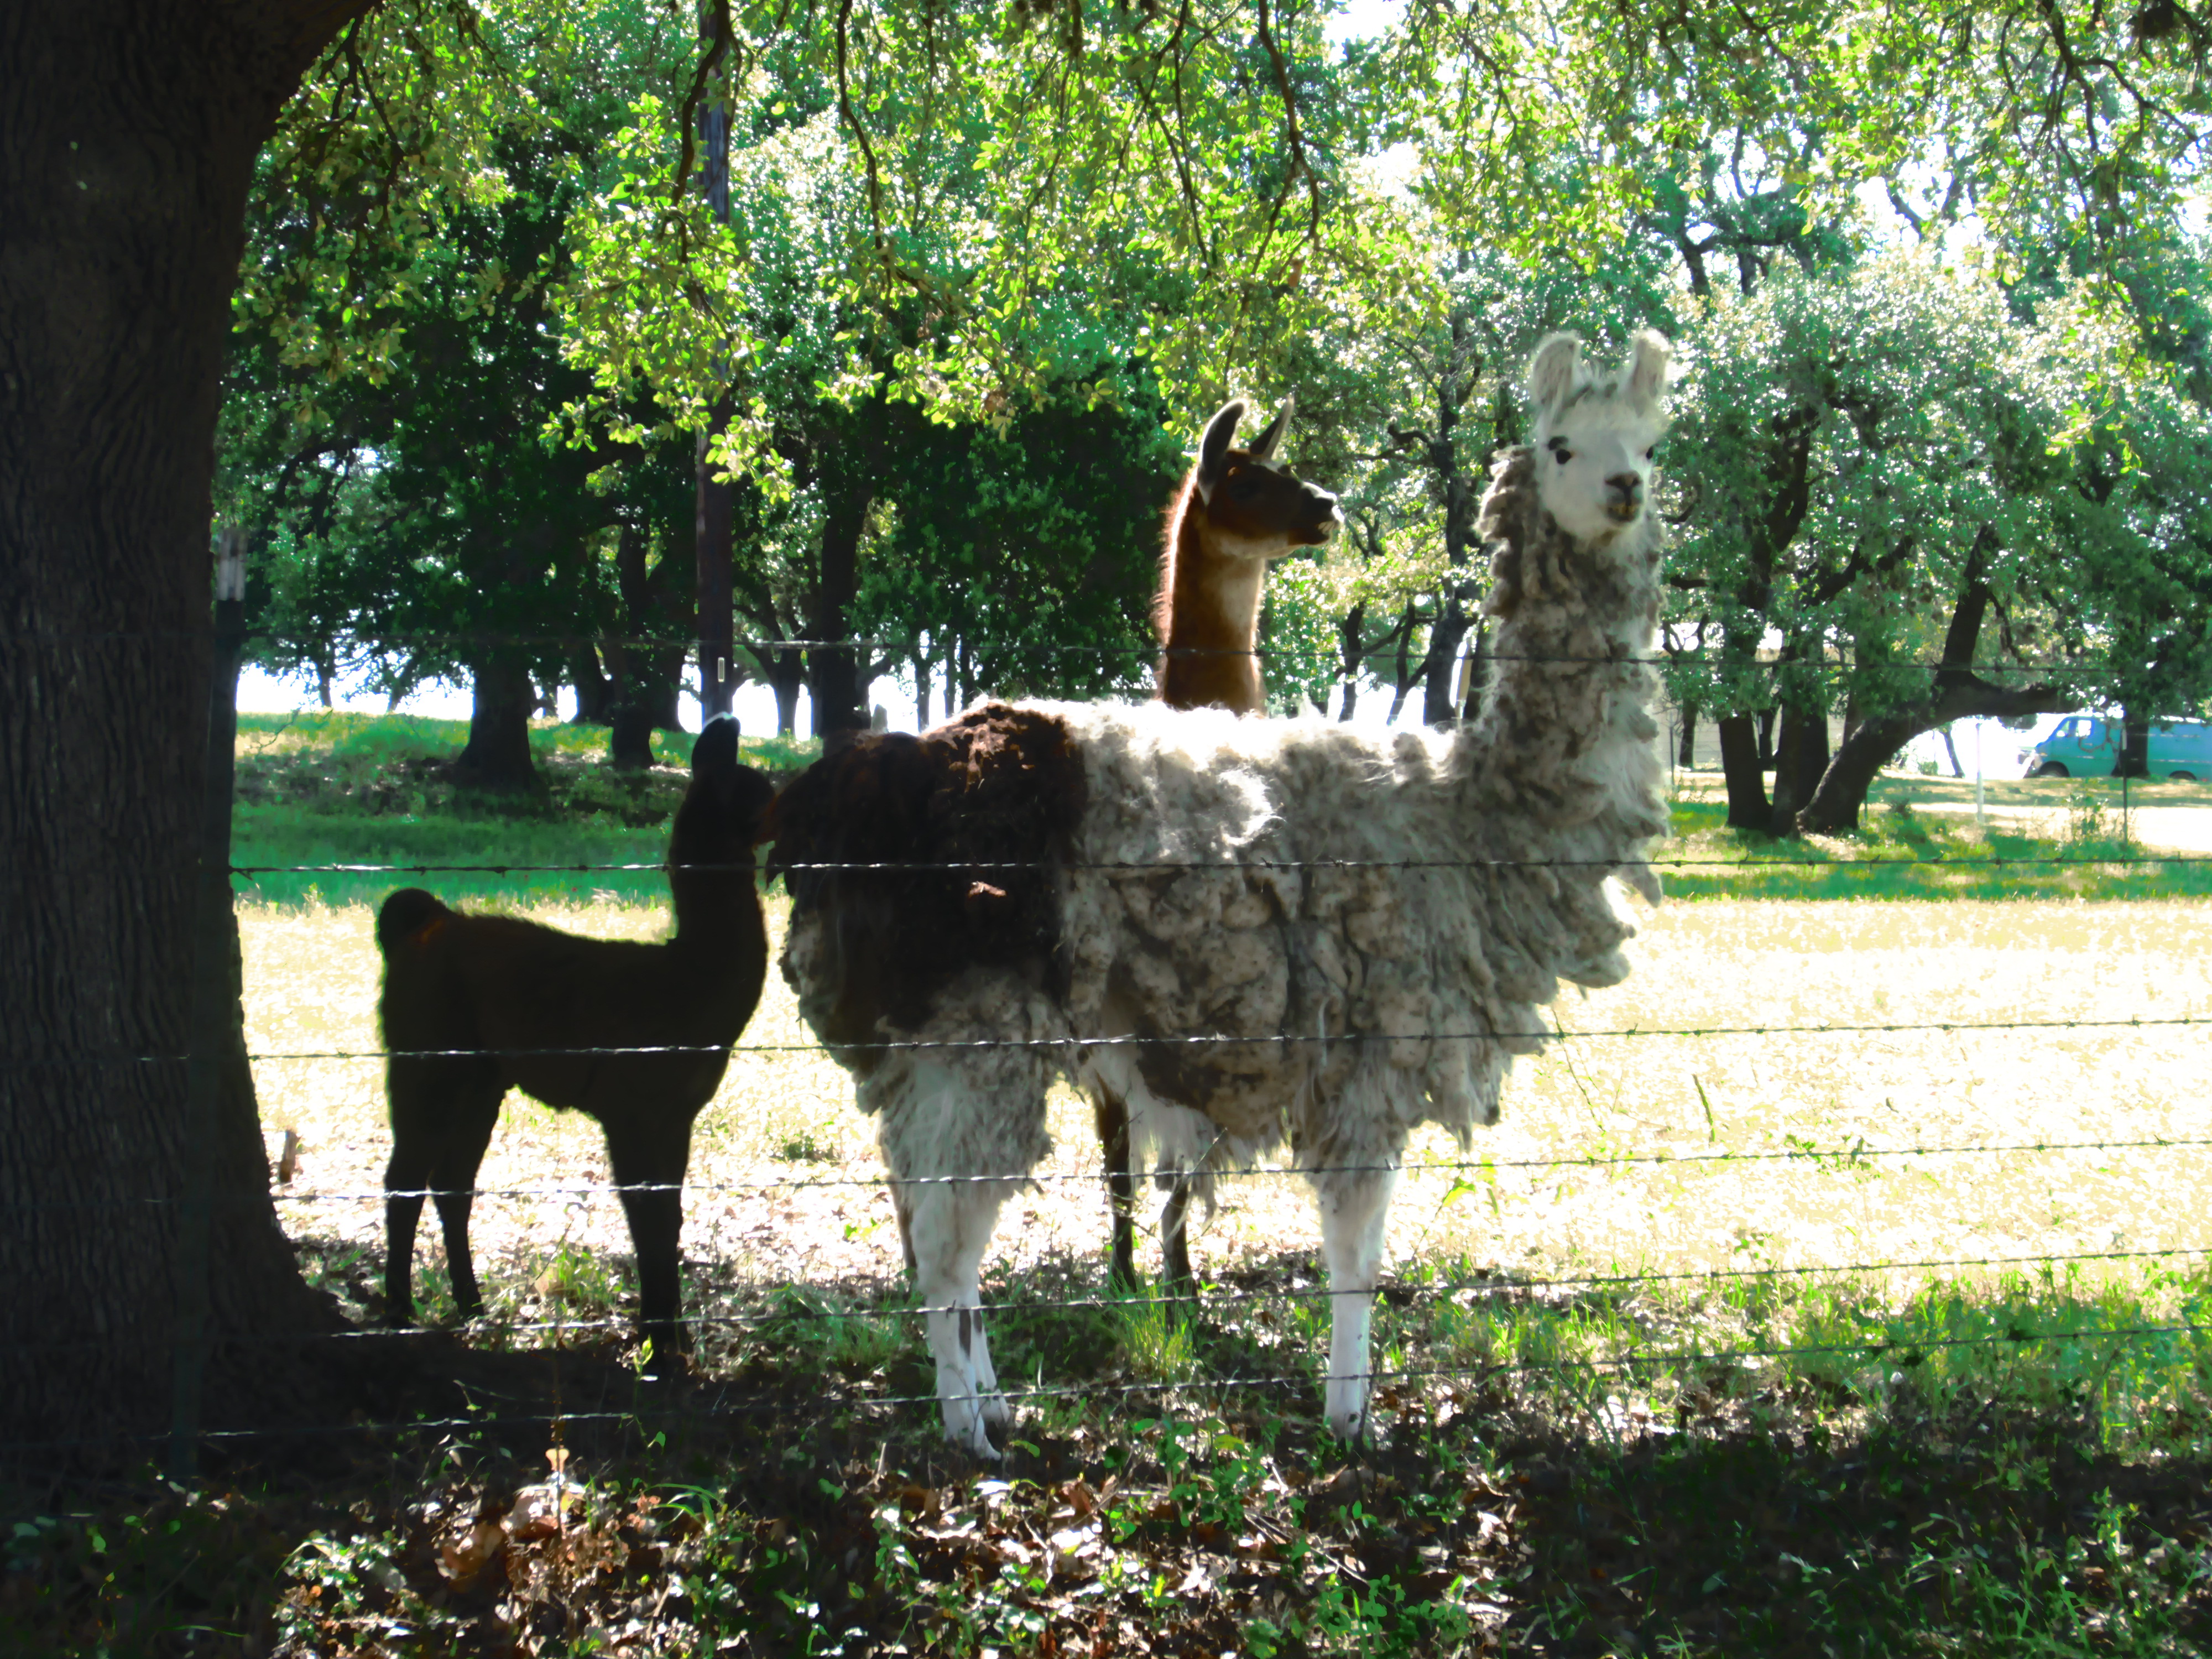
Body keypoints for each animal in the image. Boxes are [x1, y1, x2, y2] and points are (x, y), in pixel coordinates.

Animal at [378, 714, 774, 1363]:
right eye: (762, 791)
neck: (689, 984)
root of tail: (422, 925)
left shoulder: (676, 1115)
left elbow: (669, 1216)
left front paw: (674, 1337)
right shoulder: (632, 1107)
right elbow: (647, 1219)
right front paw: (658, 1345)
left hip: (481, 1076)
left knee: (452, 1184)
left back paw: (472, 1306)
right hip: (428, 1058)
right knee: (404, 1182)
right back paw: (399, 1314)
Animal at [770, 331, 1673, 1456]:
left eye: (1652, 442)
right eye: (1559, 446)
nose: (1624, 489)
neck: (1471, 812)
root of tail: (839, 797)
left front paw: (1343, 1405)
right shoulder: (1372, 1049)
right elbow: (1355, 1255)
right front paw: (1350, 1420)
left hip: (934, 1043)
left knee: (923, 1215)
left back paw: (992, 1403)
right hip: (973, 1029)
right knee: (945, 1239)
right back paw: (970, 1434)